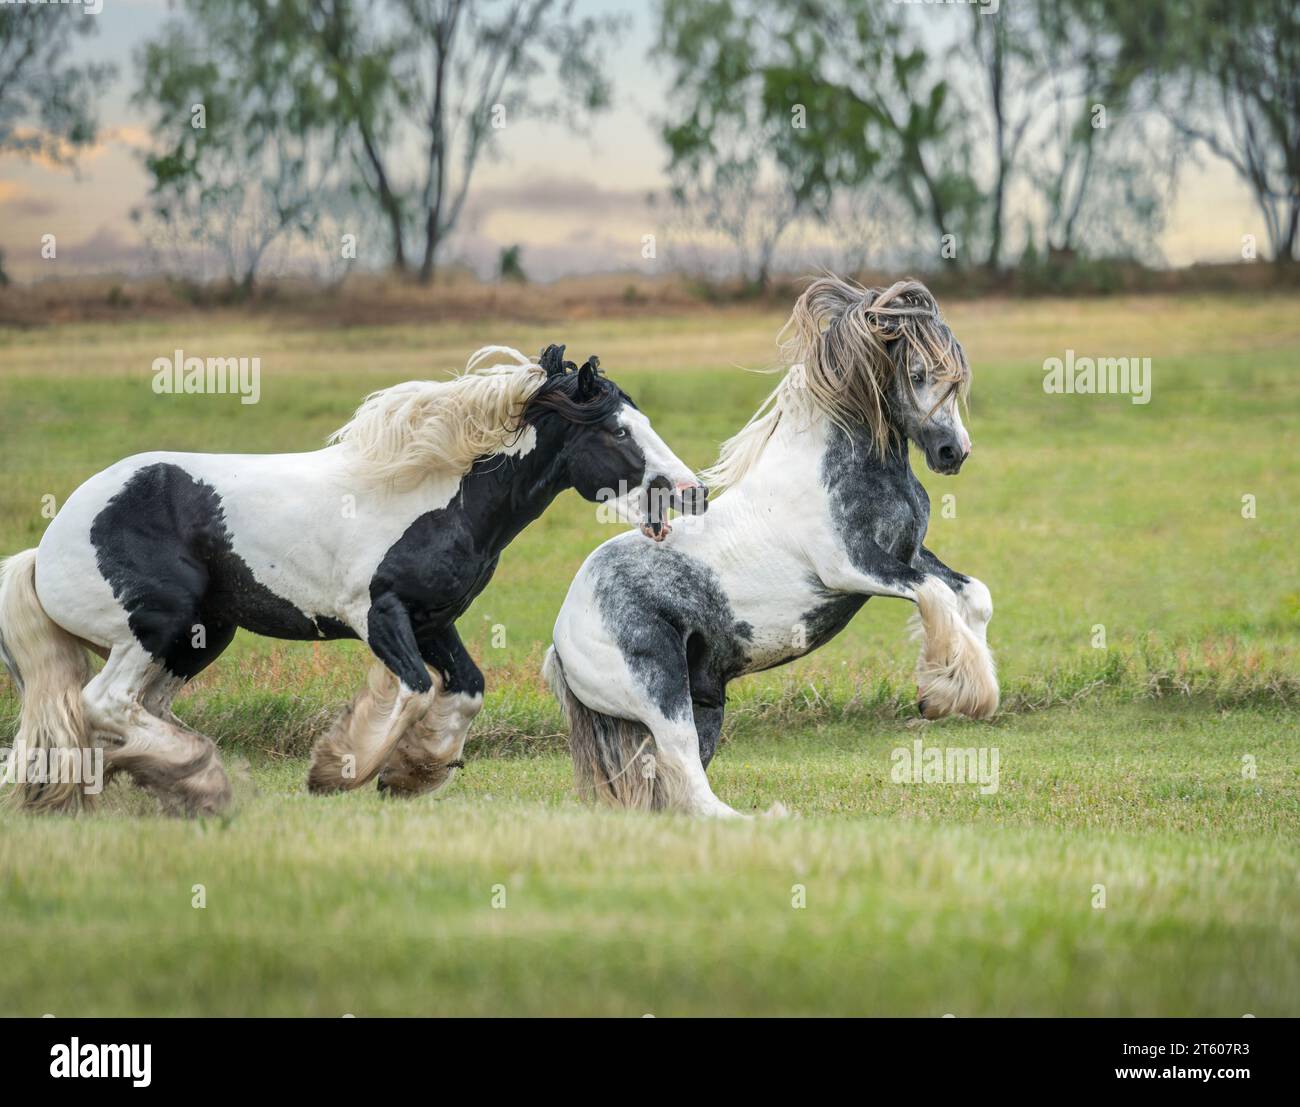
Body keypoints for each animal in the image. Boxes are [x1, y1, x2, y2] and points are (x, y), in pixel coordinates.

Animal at [0, 345, 707, 810]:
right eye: (619, 429)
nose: (691, 491)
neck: (438, 497)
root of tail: (47, 547)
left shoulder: (434, 621)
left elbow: (467, 690)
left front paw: (412, 773)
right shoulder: (379, 615)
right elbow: (416, 690)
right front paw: (344, 771)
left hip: (199, 637)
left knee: (133, 712)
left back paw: (174, 781)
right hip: (153, 629)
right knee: (104, 703)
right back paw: (201, 775)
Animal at [546, 276, 993, 810]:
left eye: (955, 376)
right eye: (920, 372)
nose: (954, 452)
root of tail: (561, 636)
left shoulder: (909, 554)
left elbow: (973, 594)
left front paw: (973, 692)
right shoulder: (853, 567)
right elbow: (936, 595)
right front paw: (943, 695)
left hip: (703, 703)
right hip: (661, 694)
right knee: (684, 774)